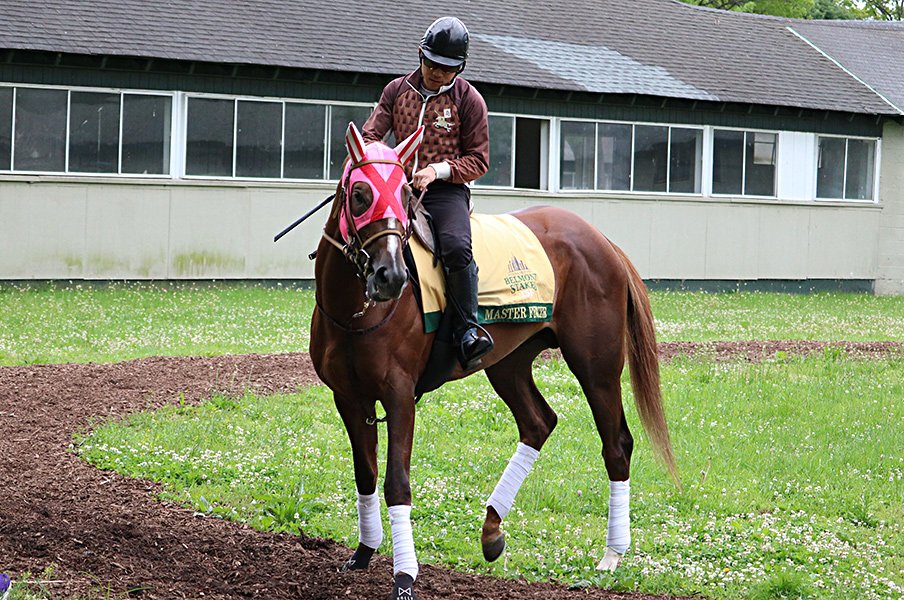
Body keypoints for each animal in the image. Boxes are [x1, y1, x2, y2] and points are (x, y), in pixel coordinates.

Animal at [308, 123, 680, 600]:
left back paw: (612, 553)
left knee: (616, 444)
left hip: (595, 367)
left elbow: (396, 483)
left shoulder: (399, 396)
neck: (357, 312)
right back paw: (491, 529)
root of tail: (601, 240)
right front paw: (362, 553)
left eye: (405, 194)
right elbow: (365, 473)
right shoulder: (349, 398)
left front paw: (405, 576)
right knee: (538, 423)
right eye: (359, 193)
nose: (391, 275)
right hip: (509, 363)